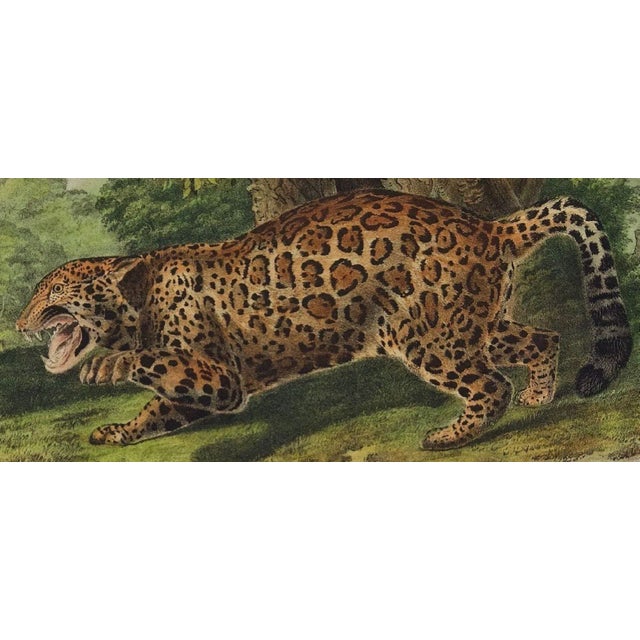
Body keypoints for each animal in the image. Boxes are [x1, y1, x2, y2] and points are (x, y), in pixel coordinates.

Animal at [16, 189, 632, 450]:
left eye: (54, 292)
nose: (20, 324)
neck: (137, 303)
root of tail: (489, 226)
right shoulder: (198, 388)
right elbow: (157, 410)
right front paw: (118, 431)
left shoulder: (220, 377)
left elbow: (155, 363)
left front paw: (110, 367)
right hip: (472, 324)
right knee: (542, 337)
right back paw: (539, 397)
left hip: (428, 337)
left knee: (489, 384)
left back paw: (448, 436)